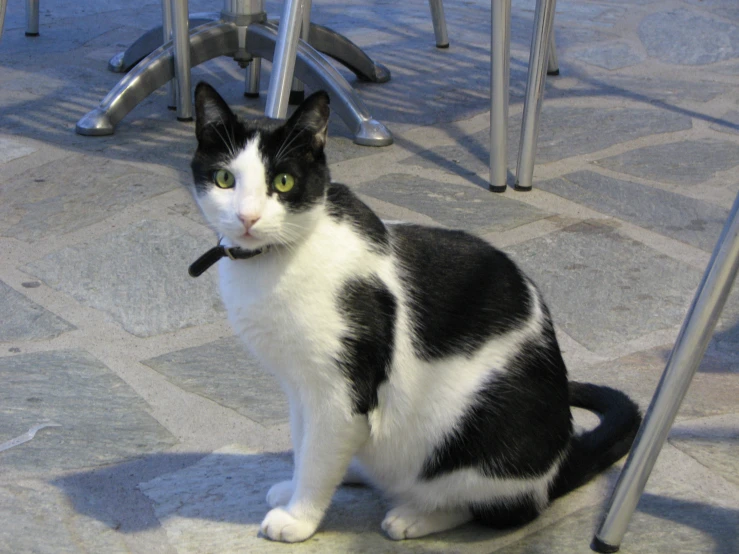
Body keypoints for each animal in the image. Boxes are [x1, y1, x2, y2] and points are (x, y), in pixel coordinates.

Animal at [185, 81, 640, 540]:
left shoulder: (340, 391)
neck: (274, 261)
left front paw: (299, 518)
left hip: (481, 428)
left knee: (499, 506)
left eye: (283, 181)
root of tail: (558, 462)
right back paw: (358, 471)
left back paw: (417, 514)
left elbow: (319, 455)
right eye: (225, 179)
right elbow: (306, 444)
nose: (247, 217)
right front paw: (296, 486)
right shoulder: (299, 385)